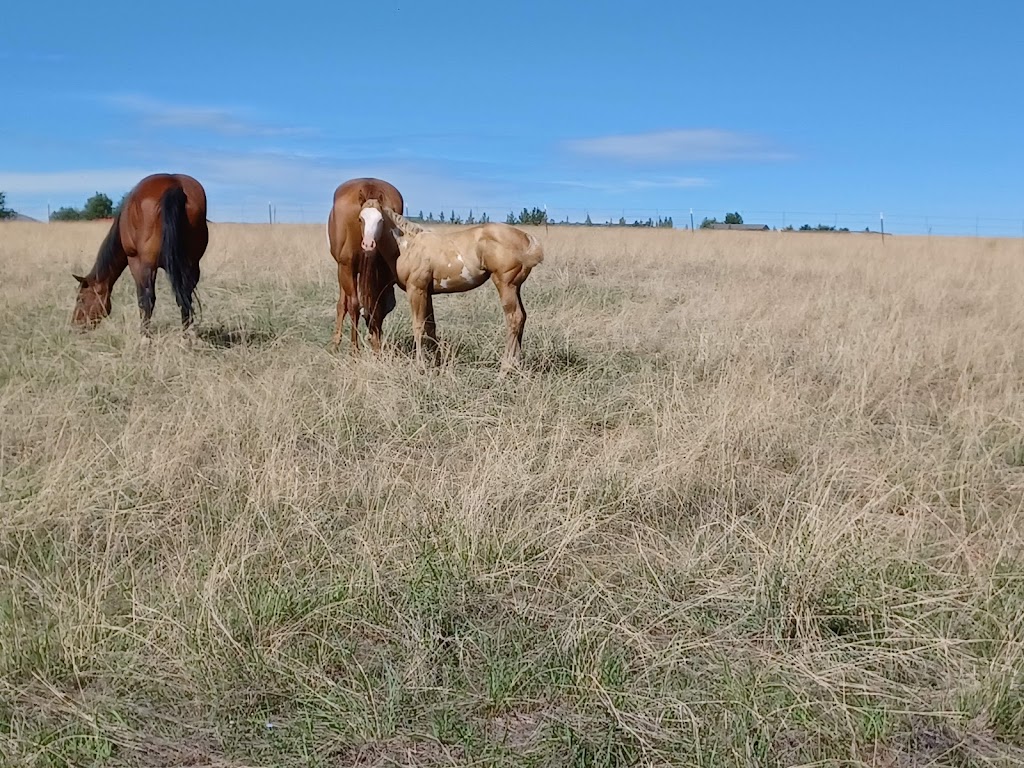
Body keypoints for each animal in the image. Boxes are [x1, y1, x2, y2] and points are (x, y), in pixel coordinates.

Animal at [71, 174, 208, 335]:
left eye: (80, 299)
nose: (75, 325)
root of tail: (174, 185)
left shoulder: (135, 262)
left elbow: (143, 300)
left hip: (146, 265)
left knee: (148, 299)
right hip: (191, 264)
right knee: (185, 297)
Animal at [323, 177, 403, 352]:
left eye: (380, 220)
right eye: (361, 219)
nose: (368, 244)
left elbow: (373, 306)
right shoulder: (347, 269)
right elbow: (354, 305)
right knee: (353, 304)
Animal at [364, 201, 548, 376]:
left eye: (380, 220)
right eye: (361, 219)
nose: (367, 244)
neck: (409, 245)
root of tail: (526, 237)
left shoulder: (416, 289)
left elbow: (418, 326)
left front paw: (421, 367)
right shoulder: (427, 292)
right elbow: (430, 326)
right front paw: (437, 363)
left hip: (505, 285)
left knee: (514, 318)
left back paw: (504, 371)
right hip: (515, 287)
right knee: (522, 318)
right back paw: (517, 366)